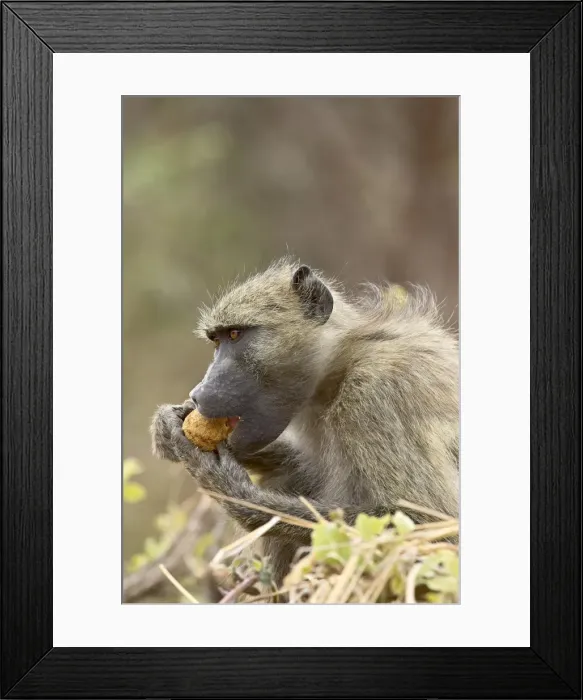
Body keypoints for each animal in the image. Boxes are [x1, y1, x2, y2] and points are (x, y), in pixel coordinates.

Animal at [150, 257, 459, 587]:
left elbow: (430, 525)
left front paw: (230, 488)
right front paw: (168, 427)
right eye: (216, 341)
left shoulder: (376, 391)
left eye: (235, 335)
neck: (340, 363)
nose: (197, 394)